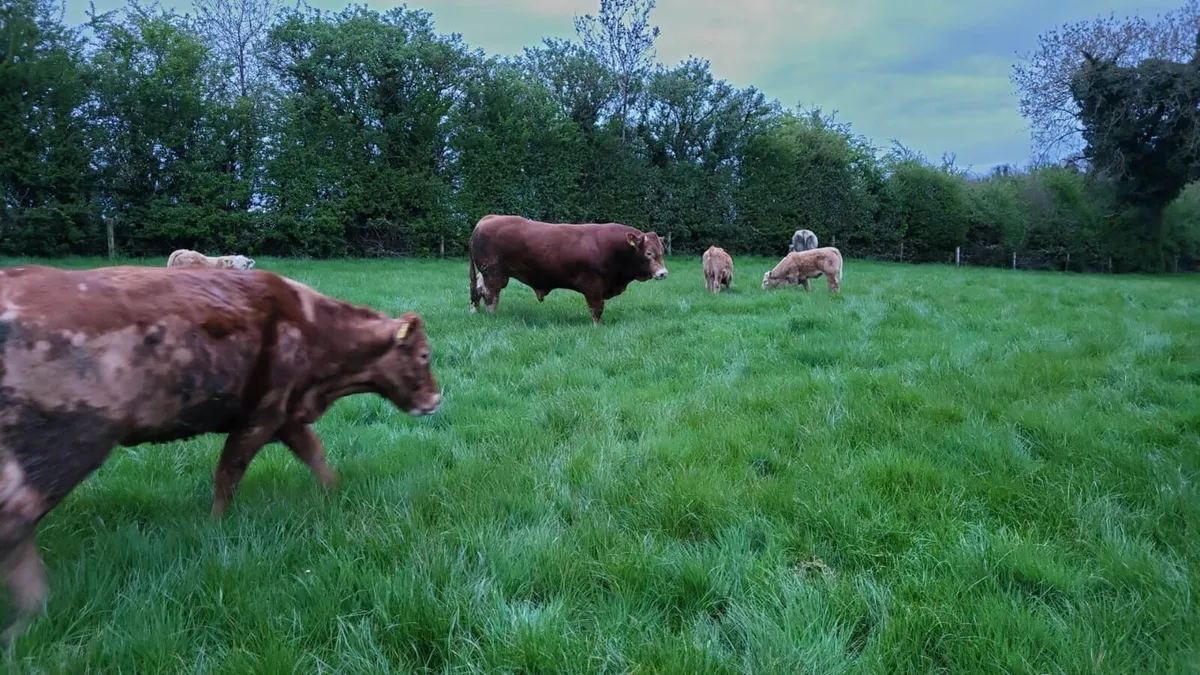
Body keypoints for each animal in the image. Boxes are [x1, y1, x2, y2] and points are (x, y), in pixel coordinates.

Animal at [0, 260, 441, 638]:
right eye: (423, 354)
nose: (436, 399)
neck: (313, 329)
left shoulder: (283, 414)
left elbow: (313, 453)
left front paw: (334, 492)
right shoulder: (261, 415)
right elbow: (230, 470)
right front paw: (216, 525)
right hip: (67, 444)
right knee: (16, 518)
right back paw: (35, 613)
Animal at [465, 212, 672, 324]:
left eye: (662, 251)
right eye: (648, 253)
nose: (663, 273)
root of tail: (489, 218)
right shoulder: (593, 286)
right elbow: (596, 310)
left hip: (486, 273)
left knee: (478, 291)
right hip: (494, 274)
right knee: (490, 296)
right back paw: (492, 316)